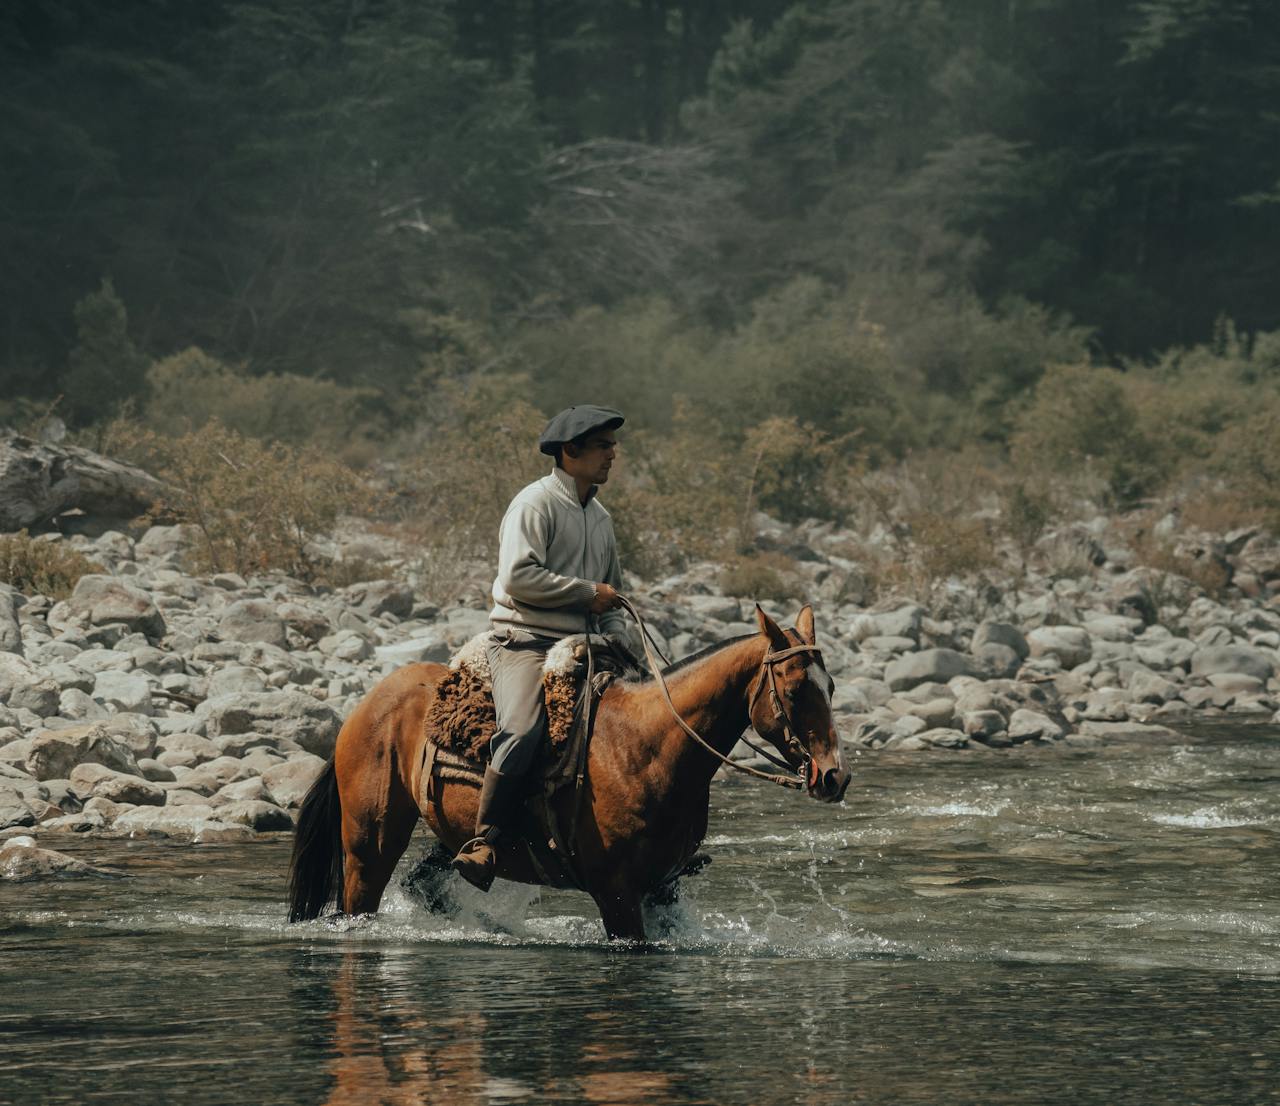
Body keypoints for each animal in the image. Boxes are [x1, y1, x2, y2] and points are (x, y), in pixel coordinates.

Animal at [287, 602, 851, 941]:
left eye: (831, 686)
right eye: (796, 689)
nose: (834, 777)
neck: (648, 747)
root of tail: (363, 708)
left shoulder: (662, 890)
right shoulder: (617, 893)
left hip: (446, 841)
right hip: (369, 844)